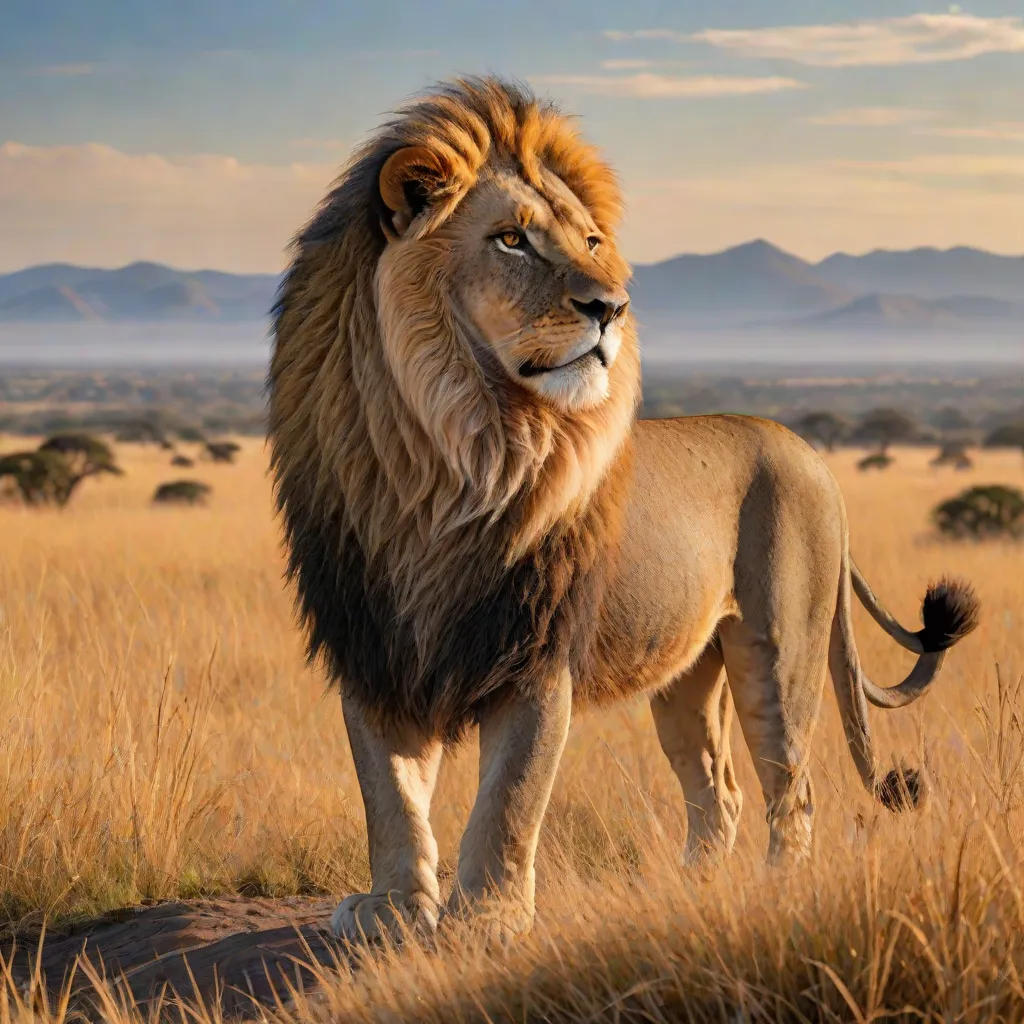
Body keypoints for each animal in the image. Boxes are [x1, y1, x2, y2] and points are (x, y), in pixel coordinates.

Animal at [269, 78, 979, 944]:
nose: (611, 306)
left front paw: (488, 918)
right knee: (719, 794)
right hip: (686, 675)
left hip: (778, 654)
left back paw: (773, 895)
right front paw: (393, 909)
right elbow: (390, 796)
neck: (444, 462)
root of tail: (811, 452)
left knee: (792, 791)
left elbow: (510, 797)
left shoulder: (535, 654)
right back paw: (692, 895)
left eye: (591, 240)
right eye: (511, 240)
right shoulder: (374, 647)